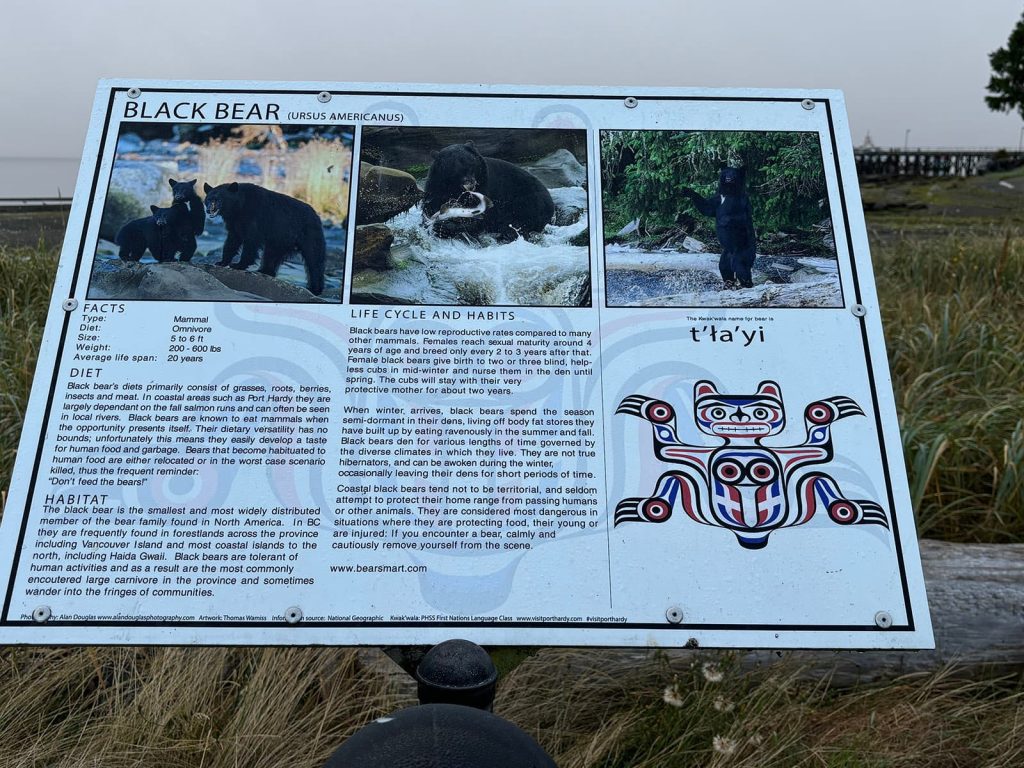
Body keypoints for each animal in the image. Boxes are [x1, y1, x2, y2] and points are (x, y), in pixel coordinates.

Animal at [421, 143, 557, 241]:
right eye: (455, 168)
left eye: (471, 164)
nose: (471, 183)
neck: (455, 187)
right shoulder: (437, 185)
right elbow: (432, 204)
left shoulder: (486, 187)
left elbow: (478, 217)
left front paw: (444, 227)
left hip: (528, 201)